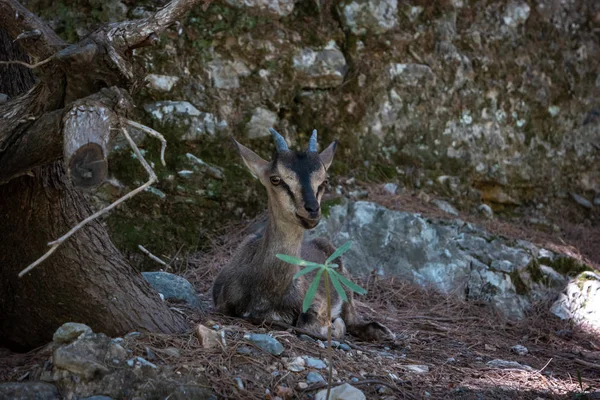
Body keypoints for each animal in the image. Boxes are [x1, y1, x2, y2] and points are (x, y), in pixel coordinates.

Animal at [212, 129, 394, 340]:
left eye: (324, 181)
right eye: (275, 179)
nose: (312, 210)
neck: (267, 289)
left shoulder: (317, 300)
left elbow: (308, 322)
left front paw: (335, 326)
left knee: (353, 317)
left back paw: (384, 332)